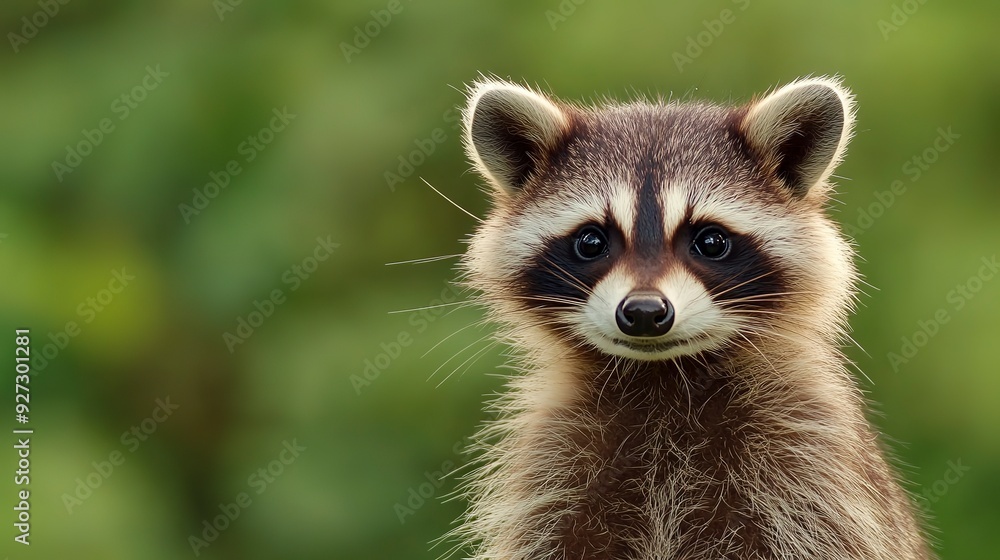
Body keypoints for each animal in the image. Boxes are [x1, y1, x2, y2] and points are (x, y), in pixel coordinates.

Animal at [451, 77, 932, 559]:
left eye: (711, 241)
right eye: (591, 241)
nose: (645, 312)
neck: (662, 376)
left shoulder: (813, 466)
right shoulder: (552, 466)